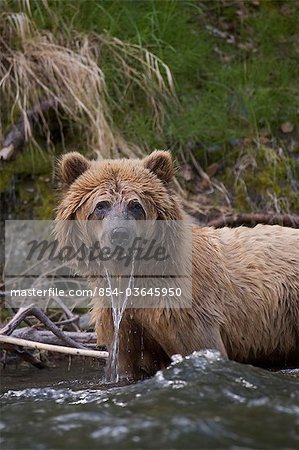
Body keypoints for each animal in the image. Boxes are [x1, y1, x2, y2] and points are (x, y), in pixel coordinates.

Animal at [55, 150, 299, 380]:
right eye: (101, 205)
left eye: (135, 205)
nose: (119, 234)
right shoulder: (122, 320)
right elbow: (125, 361)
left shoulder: (186, 312)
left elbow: (201, 346)